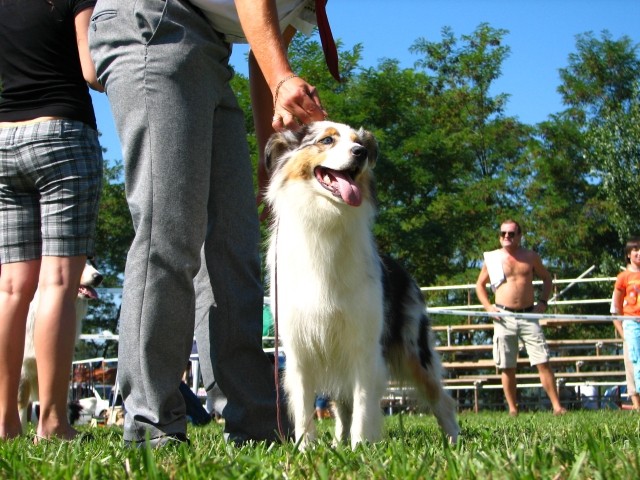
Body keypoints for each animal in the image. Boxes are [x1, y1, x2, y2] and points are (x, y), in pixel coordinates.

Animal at [264, 121, 460, 450]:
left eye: (360, 142)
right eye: (326, 140)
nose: (361, 153)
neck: (327, 220)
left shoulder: (364, 344)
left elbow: (363, 403)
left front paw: (360, 448)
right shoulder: (299, 347)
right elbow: (304, 407)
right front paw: (306, 449)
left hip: (413, 351)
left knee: (441, 399)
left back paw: (454, 441)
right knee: (342, 407)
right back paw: (335, 444)